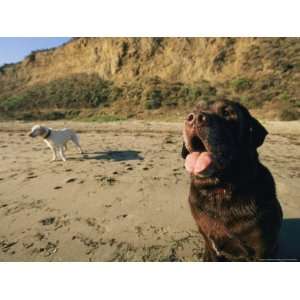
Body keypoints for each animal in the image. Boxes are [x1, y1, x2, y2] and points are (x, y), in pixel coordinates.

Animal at [182, 99, 282, 262]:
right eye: (195, 109)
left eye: (227, 113)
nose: (195, 118)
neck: (219, 190)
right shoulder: (210, 243)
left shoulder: (260, 252)